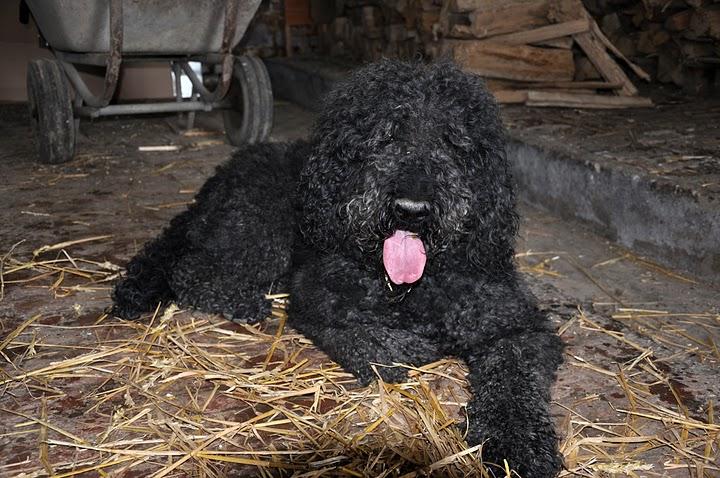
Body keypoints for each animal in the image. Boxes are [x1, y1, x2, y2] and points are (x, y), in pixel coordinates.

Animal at [113, 59, 563, 477]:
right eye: (386, 135)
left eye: (453, 142)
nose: (412, 209)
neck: (411, 287)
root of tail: (217, 179)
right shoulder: (316, 297)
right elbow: (371, 344)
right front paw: (407, 346)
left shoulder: (517, 326)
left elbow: (514, 381)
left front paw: (520, 443)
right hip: (258, 234)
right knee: (190, 269)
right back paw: (242, 302)